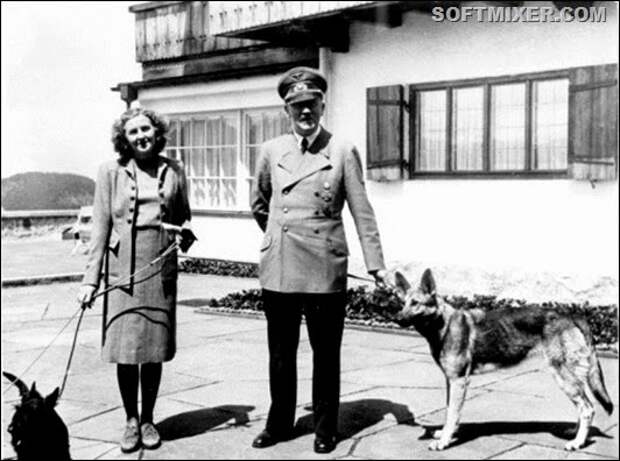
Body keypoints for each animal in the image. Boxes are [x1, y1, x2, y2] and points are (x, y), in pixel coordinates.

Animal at [390, 268, 612, 452]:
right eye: (403, 303)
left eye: (415, 303)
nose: (397, 318)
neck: (442, 325)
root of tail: (573, 315)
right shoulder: (450, 381)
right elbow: (449, 411)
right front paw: (445, 433)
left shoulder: (458, 381)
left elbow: (452, 414)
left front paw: (445, 441)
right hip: (570, 380)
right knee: (584, 406)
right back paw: (575, 434)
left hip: (563, 377)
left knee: (588, 408)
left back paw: (577, 443)